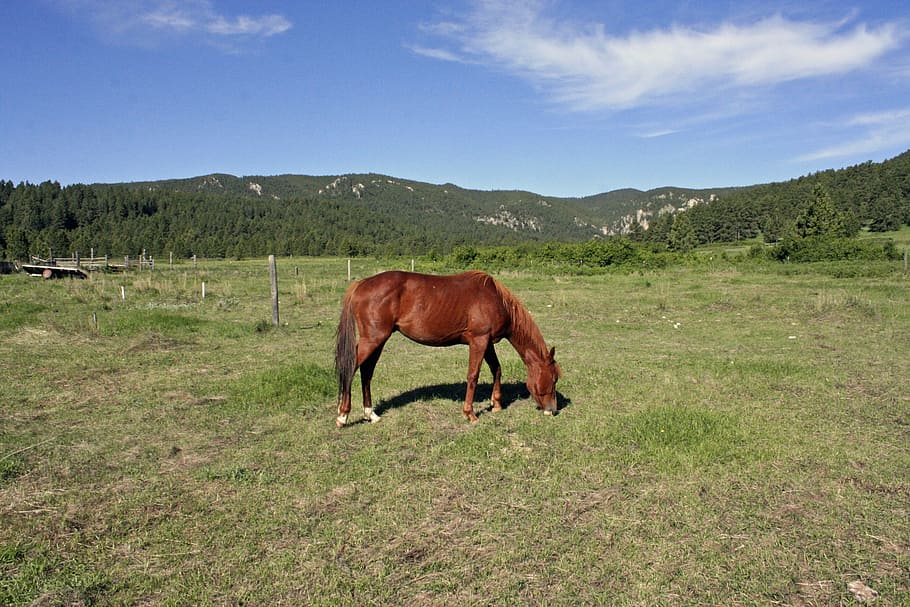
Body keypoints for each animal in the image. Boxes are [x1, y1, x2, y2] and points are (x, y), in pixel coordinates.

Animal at [336, 270, 564, 428]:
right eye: (553, 379)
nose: (552, 410)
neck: (496, 300)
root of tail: (361, 284)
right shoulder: (479, 341)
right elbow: (473, 376)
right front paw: (470, 414)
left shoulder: (488, 343)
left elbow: (497, 369)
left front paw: (496, 404)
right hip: (373, 340)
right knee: (351, 368)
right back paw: (342, 415)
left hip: (378, 341)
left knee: (367, 372)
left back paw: (370, 414)